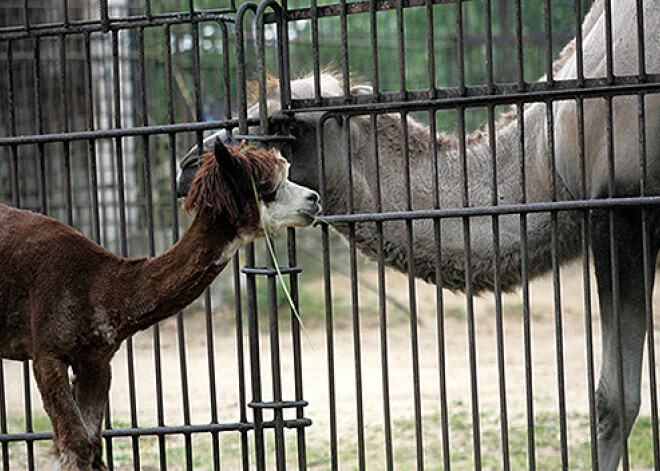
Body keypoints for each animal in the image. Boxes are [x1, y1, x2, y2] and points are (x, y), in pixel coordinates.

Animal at [0, 143, 320, 471]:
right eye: (267, 187)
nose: (314, 199)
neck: (99, 286)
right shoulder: (47, 354)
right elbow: (75, 446)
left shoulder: (96, 361)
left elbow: (92, 447)